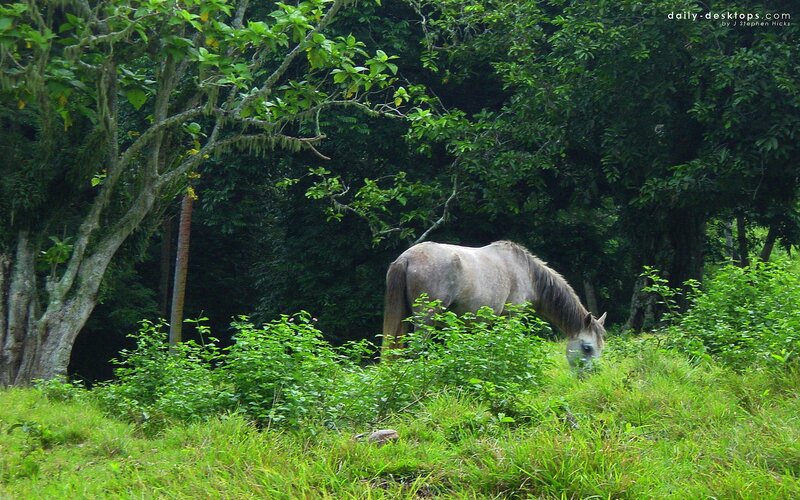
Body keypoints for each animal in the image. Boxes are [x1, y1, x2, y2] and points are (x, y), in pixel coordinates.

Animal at [381, 240, 606, 369]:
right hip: (425, 319)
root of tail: (406, 258)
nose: (593, 375)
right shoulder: (510, 318)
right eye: (587, 348)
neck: (528, 274)